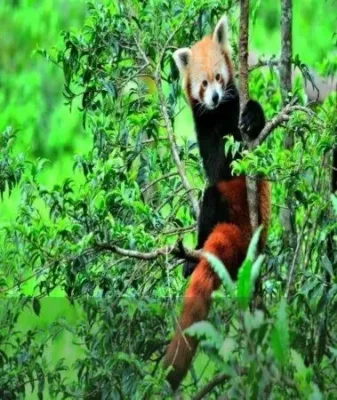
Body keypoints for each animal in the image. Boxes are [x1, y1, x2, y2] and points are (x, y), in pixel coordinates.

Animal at [163, 14, 270, 390]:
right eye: (203, 83)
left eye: (220, 79)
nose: (211, 97)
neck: (220, 114)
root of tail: (242, 226)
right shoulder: (205, 131)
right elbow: (219, 165)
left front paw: (252, 117)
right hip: (217, 205)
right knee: (209, 196)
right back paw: (191, 258)